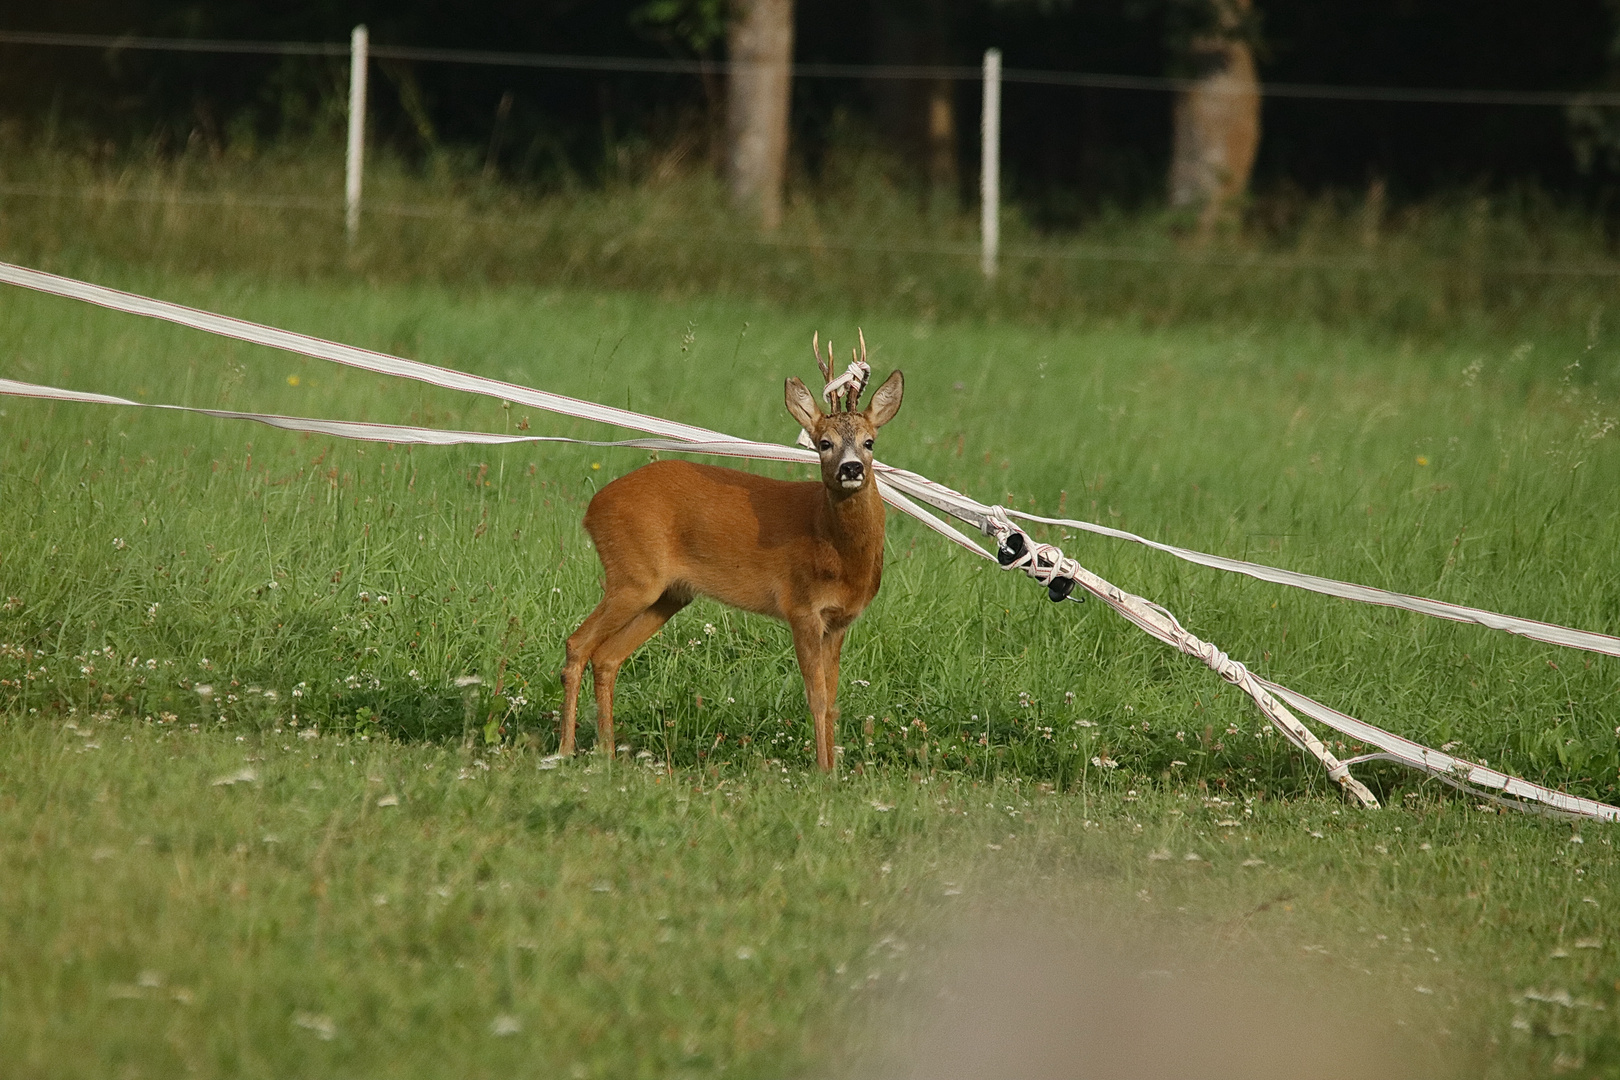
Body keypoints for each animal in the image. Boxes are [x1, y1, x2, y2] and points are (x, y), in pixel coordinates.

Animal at [563, 338, 907, 767]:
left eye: (869, 441)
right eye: (824, 443)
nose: (851, 468)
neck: (837, 550)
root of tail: (592, 508)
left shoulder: (839, 620)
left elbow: (832, 701)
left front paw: (833, 770)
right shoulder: (801, 607)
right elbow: (816, 696)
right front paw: (821, 772)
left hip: (668, 594)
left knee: (607, 656)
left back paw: (608, 752)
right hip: (633, 575)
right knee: (578, 644)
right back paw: (566, 750)